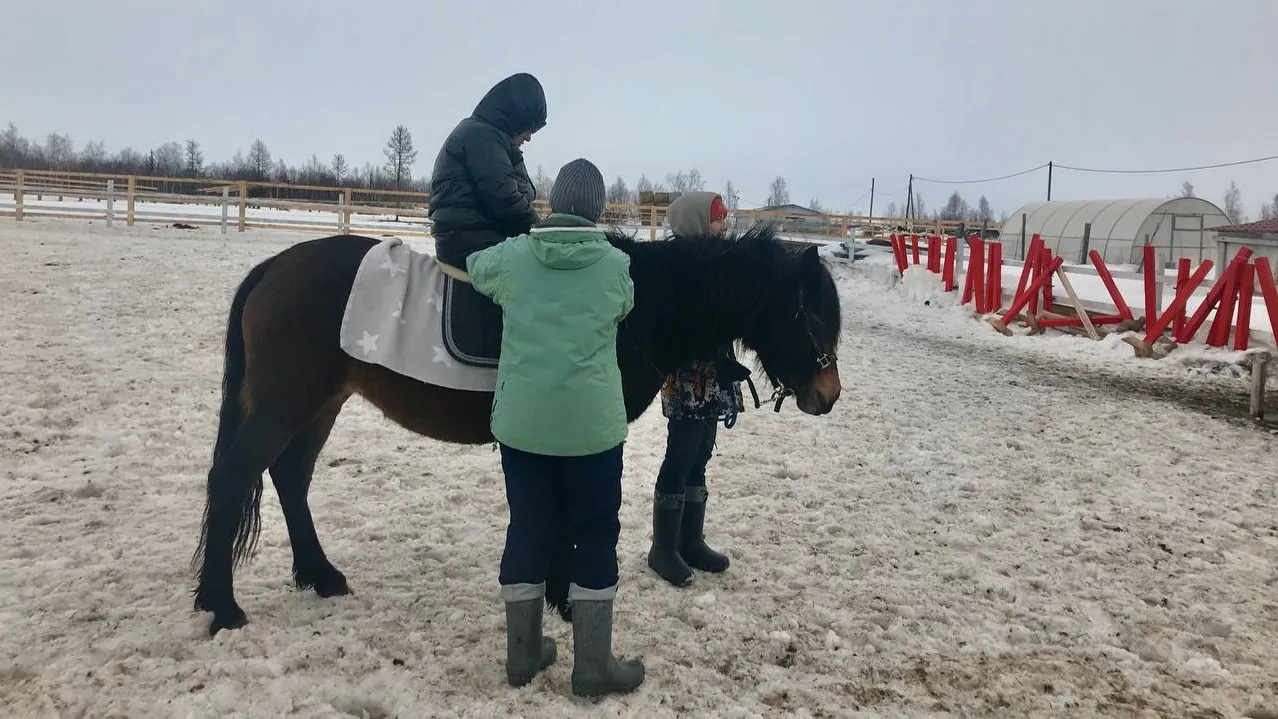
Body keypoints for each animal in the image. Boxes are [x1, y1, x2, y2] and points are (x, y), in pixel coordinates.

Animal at [189, 223, 843, 635]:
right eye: (808, 313)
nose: (828, 395)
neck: (637, 307)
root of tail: (273, 267)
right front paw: (566, 600)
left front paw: (555, 596)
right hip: (284, 403)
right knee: (232, 479)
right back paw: (221, 606)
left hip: (320, 403)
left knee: (289, 477)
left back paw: (319, 575)